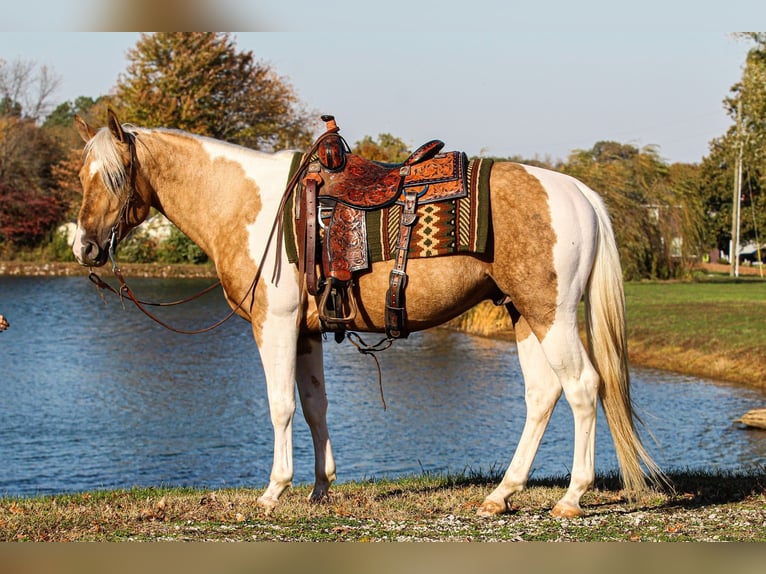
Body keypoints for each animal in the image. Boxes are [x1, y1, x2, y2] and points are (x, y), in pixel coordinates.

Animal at [72, 110, 665, 518]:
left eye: (111, 177)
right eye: (82, 176)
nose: (83, 247)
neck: (248, 206)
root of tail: (578, 191)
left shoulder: (275, 324)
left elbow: (281, 406)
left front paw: (273, 491)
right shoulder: (307, 332)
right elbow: (315, 408)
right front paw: (320, 488)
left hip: (552, 316)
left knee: (584, 388)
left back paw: (571, 498)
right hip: (523, 315)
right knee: (543, 395)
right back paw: (501, 494)